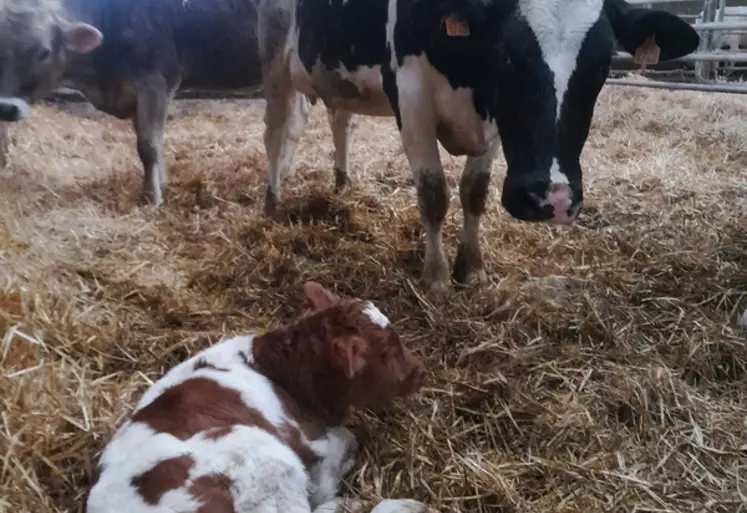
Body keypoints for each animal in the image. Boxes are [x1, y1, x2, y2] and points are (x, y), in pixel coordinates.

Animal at [0, 0, 263, 205]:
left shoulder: (155, 82)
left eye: (43, 52)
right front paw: (161, 182)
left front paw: (151, 198)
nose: (5, 107)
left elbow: (148, 146)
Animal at [256, 0, 700, 294]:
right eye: (507, 55)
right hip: (275, 58)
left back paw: (341, 182)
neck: (469, 75)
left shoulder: (493, 123)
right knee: (276, 133)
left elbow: (475, 192)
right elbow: (434, 193)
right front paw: (436, 278)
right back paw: (272, 200)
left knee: (337, 119)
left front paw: (471, 268)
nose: (552, 198)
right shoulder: (411, 98)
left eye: (603, 64)